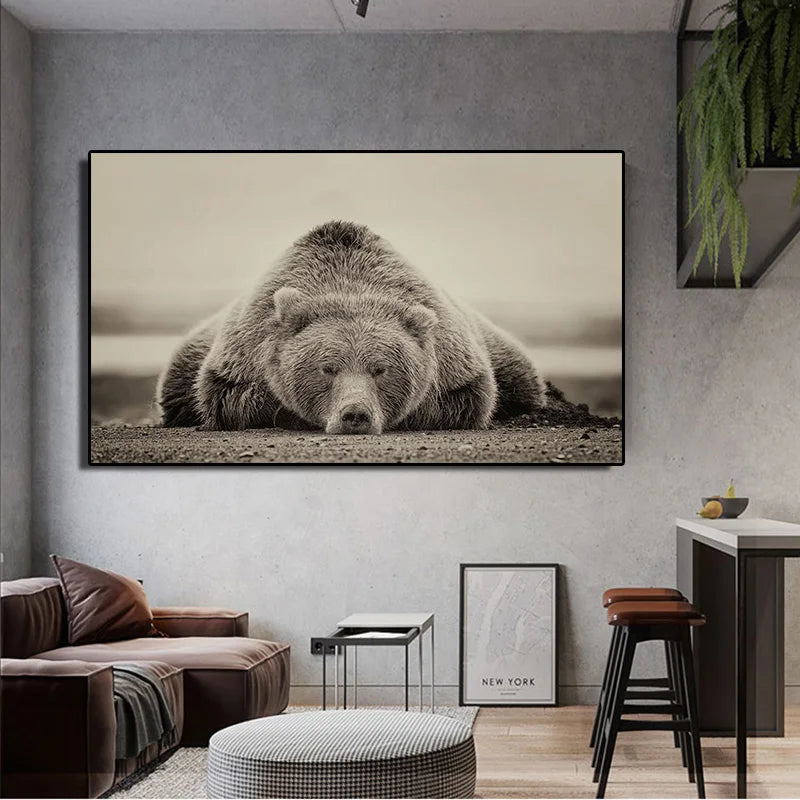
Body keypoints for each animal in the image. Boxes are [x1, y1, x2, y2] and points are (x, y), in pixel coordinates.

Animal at [157, 221, 546, 434]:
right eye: (327, 368)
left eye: (381, 369)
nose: (355, 414)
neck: (349, 283)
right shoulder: (243, 353)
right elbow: (230, 397)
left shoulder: (456, 362)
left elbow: (466, 399)